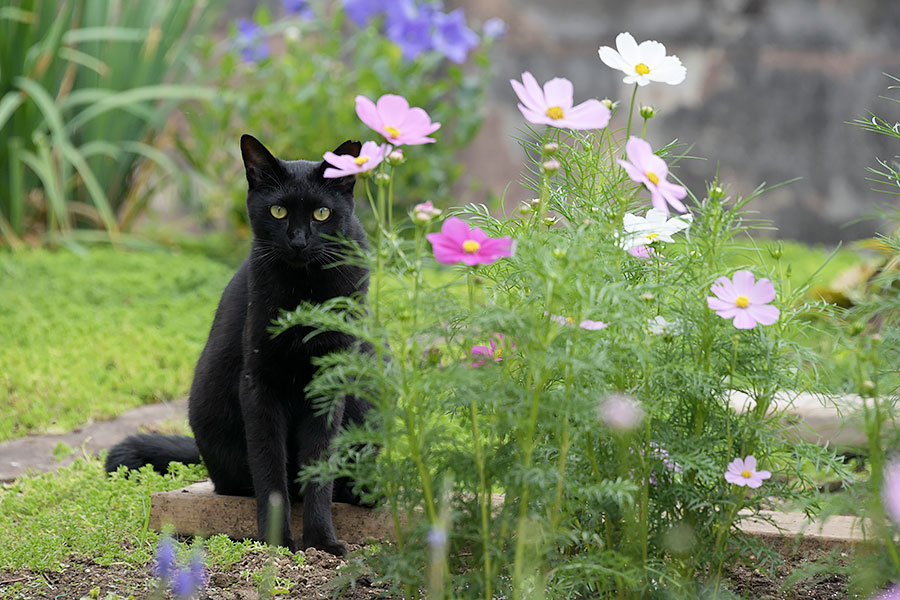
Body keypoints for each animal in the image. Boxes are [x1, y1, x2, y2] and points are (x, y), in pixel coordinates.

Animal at [107, 134, 370, 556]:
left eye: (322, 214)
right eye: (278, 211)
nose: (298, 242)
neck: (304, 290)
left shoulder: (329, 384)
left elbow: (319, 468)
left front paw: (321, 542)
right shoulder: (258, 384)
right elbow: (268, 469)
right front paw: (277, 542)